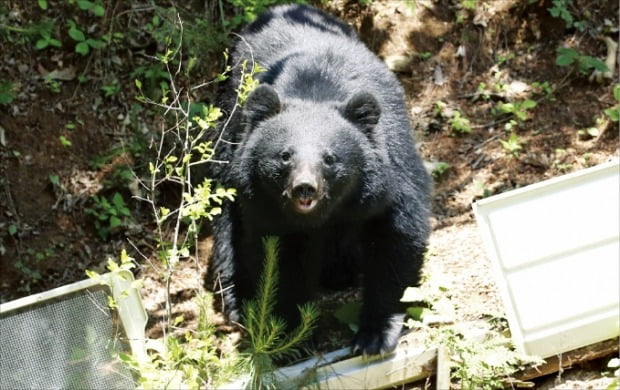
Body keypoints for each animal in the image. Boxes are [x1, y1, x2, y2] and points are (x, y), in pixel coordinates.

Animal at [208, 3, 432, 356]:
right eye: (285, 156)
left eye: (330, 158)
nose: (304, 188)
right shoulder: (265, 205)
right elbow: (279, 259)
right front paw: (290, 338)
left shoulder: (392, 171)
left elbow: (396, 238)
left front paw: (374, 335)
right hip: (230, 132)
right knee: (225, 224)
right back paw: (238, 301)